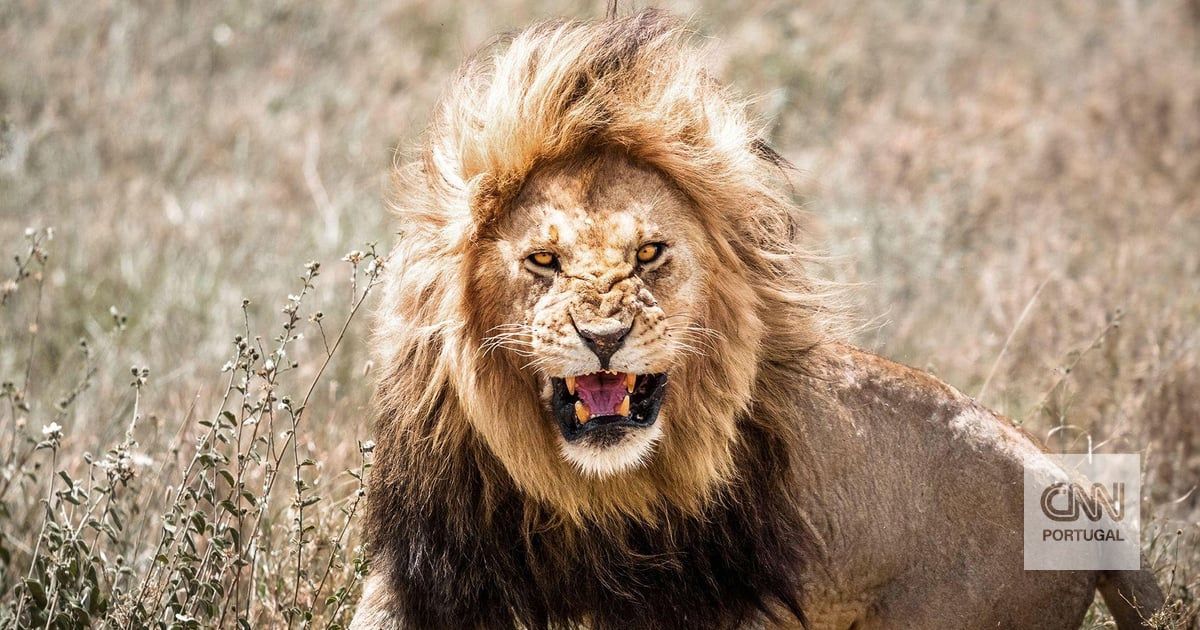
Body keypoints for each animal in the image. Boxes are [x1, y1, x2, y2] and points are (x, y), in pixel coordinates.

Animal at [352, 10, 1164, 630]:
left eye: (649, 252)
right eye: (543, 260)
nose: (604, 339)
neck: (589, 496)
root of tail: (1082, 493)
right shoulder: (435, 577)